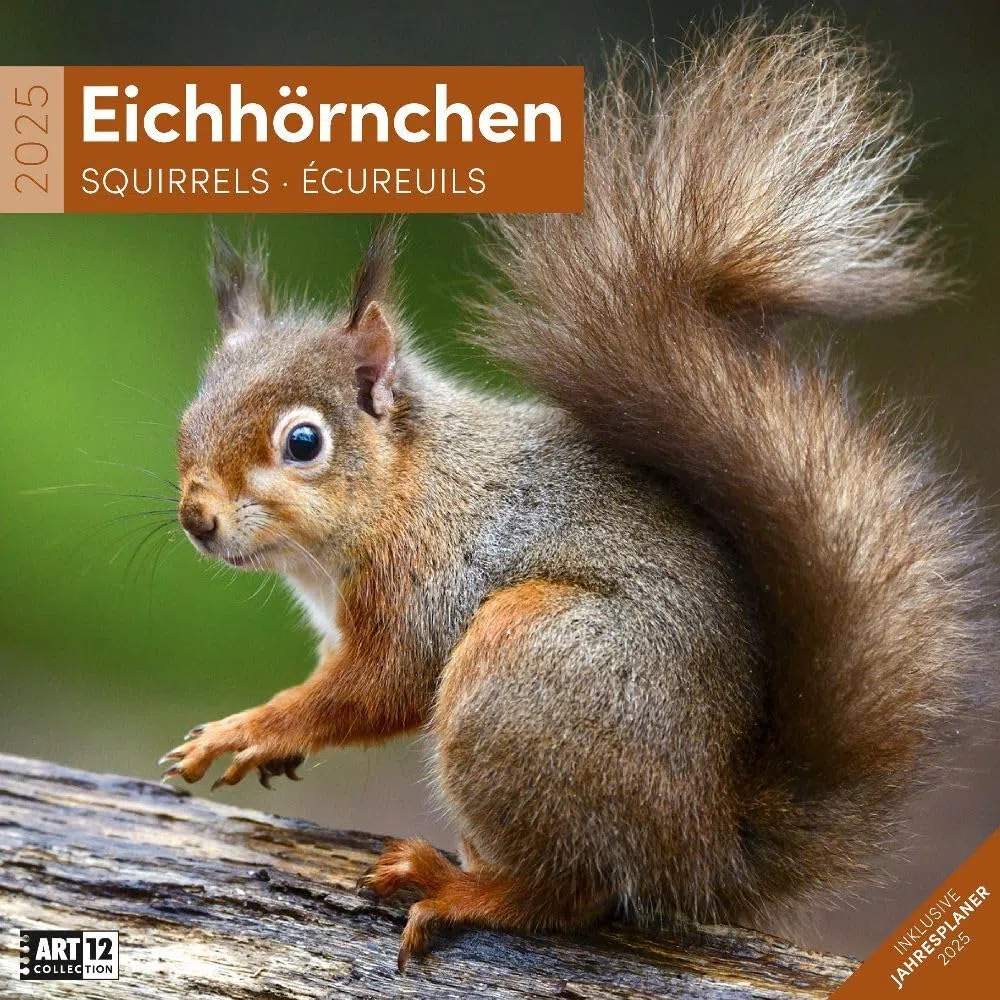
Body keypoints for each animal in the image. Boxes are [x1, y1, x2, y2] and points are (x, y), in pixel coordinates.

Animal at [160, 15, 994, 969]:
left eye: (303, 442)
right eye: (190, 413)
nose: (196, 517)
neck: (404, 490)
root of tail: (702, 848)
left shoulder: (427, 582)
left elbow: (378, 687)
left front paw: (251, 727)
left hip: (529, 669)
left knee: (575, 893)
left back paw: (457, 888)